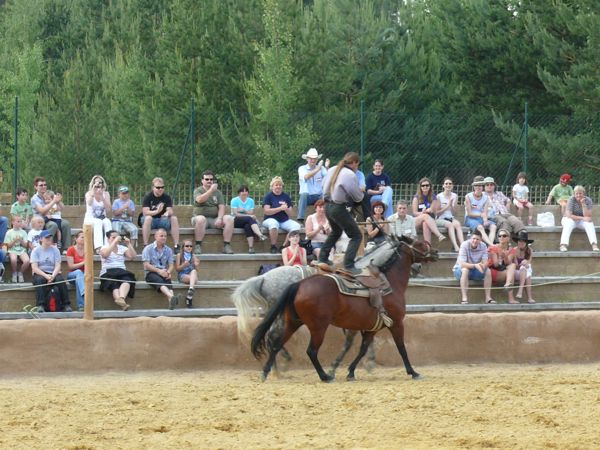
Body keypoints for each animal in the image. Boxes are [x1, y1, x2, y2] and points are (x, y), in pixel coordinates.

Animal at [251, 236, 438, 384]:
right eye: (421, 243)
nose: (435, 252)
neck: (390, 283)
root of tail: (299, 284)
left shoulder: (370, 328)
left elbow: (362, 349)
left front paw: (351, 371)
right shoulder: (396, 323)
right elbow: (401, 348)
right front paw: (413, 372)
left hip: (293, 322)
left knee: (276, 343)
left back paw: (267, 372)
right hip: (318, 327)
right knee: (310, 350)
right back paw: (324, 376)